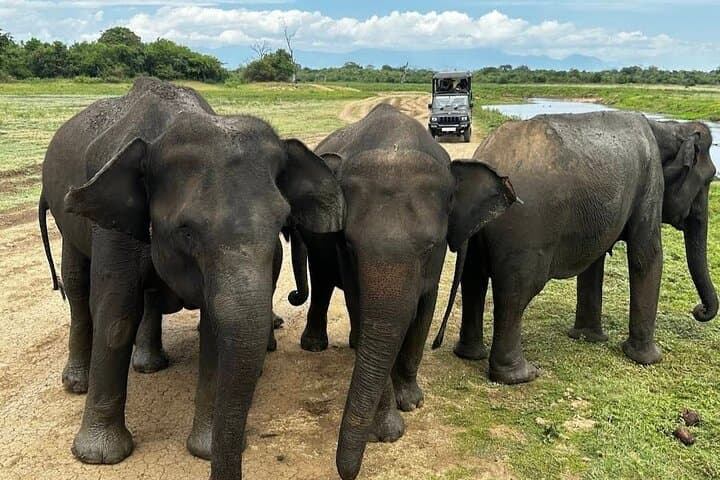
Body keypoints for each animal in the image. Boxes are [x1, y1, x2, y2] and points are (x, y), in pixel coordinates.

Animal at [39, 77, 343, 480]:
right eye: (186, 231)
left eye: (281, 223)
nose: (293, 297)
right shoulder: (113, 226)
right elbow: (116, 314)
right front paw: (99, 457)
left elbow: (214, 324)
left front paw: (204, 450)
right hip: (67, 217)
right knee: (76, 285)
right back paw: (78, 384)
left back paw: (149, 365)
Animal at [292, 103, 518, 480]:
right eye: (349, 245)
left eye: (429, 247)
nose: (346, 472)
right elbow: (362, 309)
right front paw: (387, 430)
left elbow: (423, 310)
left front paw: (411, 402)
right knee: (322, 280)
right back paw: (316, 345)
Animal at [432, 110, 717, 385]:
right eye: (709, 179)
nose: (699, 310)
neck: (668, 127)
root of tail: (488, 154)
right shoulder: (650, 181)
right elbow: (646, 254)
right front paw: (648, 359)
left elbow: (595, 260)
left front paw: (587, 338)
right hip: (526, 231)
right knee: (515, 293)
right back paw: (521, 376)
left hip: (479, 229)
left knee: (474, 280)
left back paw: (470, 355)